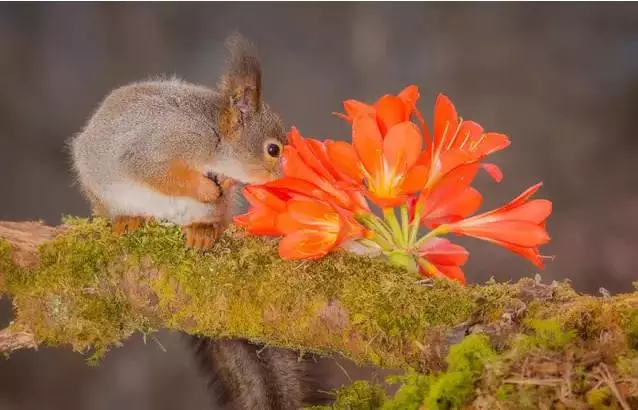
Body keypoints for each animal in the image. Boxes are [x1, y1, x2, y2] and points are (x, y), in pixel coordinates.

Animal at [68, 36, 332, 410]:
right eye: (273, 150)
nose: (289, 177)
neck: (214, 141)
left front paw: (222, 184)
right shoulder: (158, 148)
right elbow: (160, 174)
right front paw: (204, 186)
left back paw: (204, 230)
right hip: (100, 190)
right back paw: (129, 219)